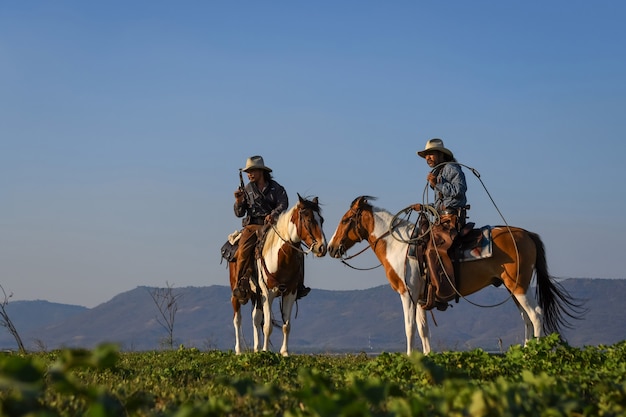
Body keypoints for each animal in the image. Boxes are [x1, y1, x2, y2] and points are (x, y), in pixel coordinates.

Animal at [229, 194, 326, 354]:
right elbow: (268, 326)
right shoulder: (268, 293)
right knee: (237, 319)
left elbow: (286, 326)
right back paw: (239, 350)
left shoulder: (290, 293)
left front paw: (284, 352)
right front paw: (265, 351)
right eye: (308, 219)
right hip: (237, 291)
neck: (281, 258)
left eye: (321, 220)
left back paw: (256, 349)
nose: (322, 248)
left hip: (256, 295)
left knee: (256, 318)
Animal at [326, 196, 580, 354]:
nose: (331, 247)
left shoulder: (407, 294)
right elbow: (423, 329)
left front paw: (409, 358)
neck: (398, 245)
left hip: (520, 286)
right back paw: (525, 353)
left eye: (346, 219)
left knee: (536, 315)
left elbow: (409, 328)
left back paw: (535, 355)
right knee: (526, 318)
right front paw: (426, 358)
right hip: (514, 288)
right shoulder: (421, 298)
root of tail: (526, 233)